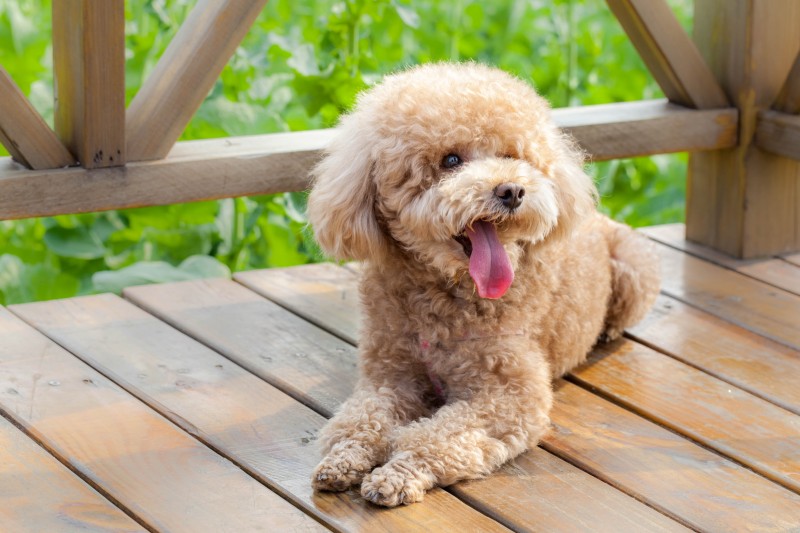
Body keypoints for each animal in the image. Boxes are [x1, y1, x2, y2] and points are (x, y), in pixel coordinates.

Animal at [304, 60, 660, 504]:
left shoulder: (509, 394)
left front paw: (396, 474)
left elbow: (438, 435)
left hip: (635, 265)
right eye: (451, 159)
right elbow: (359, 419)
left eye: (510, 155)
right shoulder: (389, 375)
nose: (511, 190)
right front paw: (343, 459)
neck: (445, 295)